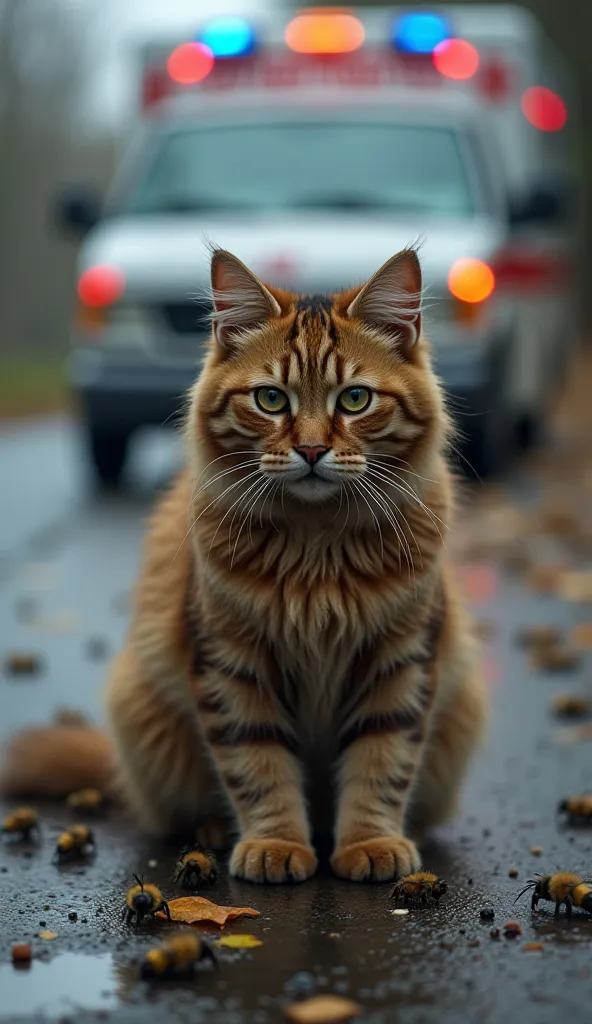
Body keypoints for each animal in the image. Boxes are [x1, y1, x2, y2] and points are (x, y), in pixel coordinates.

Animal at [1, 245, 483, 880]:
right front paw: (275, 845)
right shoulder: (232, 663)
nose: (311, 450)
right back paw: (212, 832)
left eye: (354, 399)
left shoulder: (400, 660)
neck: (316, 550)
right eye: (270, 399)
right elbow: (259, 767)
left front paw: (370, 843)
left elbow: (382, 763)